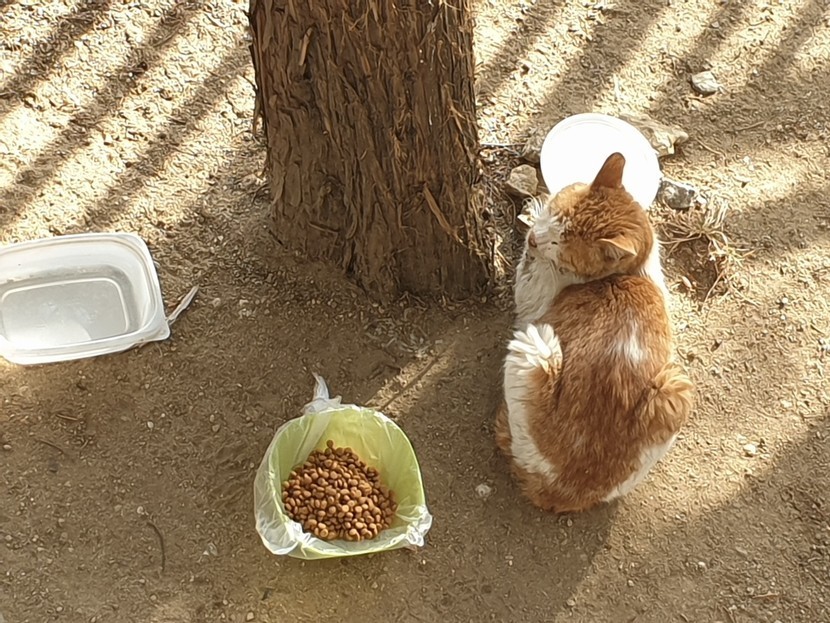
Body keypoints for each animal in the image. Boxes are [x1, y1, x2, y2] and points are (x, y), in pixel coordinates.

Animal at [495, 152, 694, 514]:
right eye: (556, 215)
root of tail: (562, 491)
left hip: (535, 346)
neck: (633, 273)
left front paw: (531, 211)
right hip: (674, 390)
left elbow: (524, 271)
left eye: (560, 244)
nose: (534, 239)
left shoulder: (531, 300)